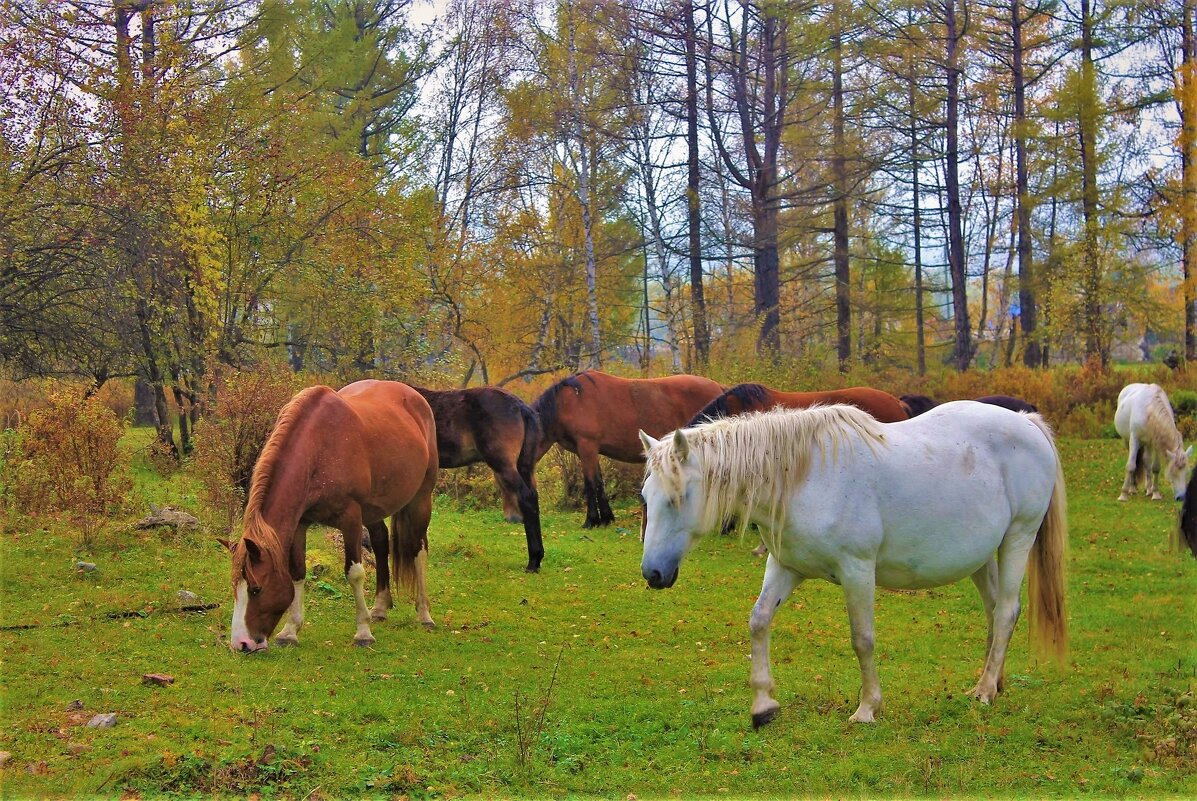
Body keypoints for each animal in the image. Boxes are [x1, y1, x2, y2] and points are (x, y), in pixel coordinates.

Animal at [222, 380, 438, 651]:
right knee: (381, 544)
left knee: (419, 549)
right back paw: (379, 608)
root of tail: (414, 396)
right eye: (234, 587)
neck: (319, 448)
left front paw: (363, 632)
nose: (241, 644)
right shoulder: (300, 523)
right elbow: (297, 572)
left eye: (256, 589)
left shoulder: (351, 518)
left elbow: (355, 573)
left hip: (421, 498)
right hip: (374, 510)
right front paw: (290, 631)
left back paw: (424, 614)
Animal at [531, 371, 718, 531]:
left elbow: (591, 483)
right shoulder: (589, 451)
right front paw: (606, 518)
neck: (569, 402)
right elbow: (599, 482)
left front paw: (591, 520)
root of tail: (719, 388)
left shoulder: (587, 447)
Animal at [641, 402, 1072, 727]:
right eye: (646, 495)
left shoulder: (857, 571)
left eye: (678, 497)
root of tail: (1027, 422)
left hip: (1018, 539)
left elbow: (862, 639)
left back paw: (983, 692)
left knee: (1006, 612)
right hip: (983, 555)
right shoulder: (785, 567)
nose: (652, 574)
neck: (804, 478)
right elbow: (759, 621)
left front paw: (867, 708)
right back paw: (992, 683)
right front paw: (763, 706)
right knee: (996, 612)